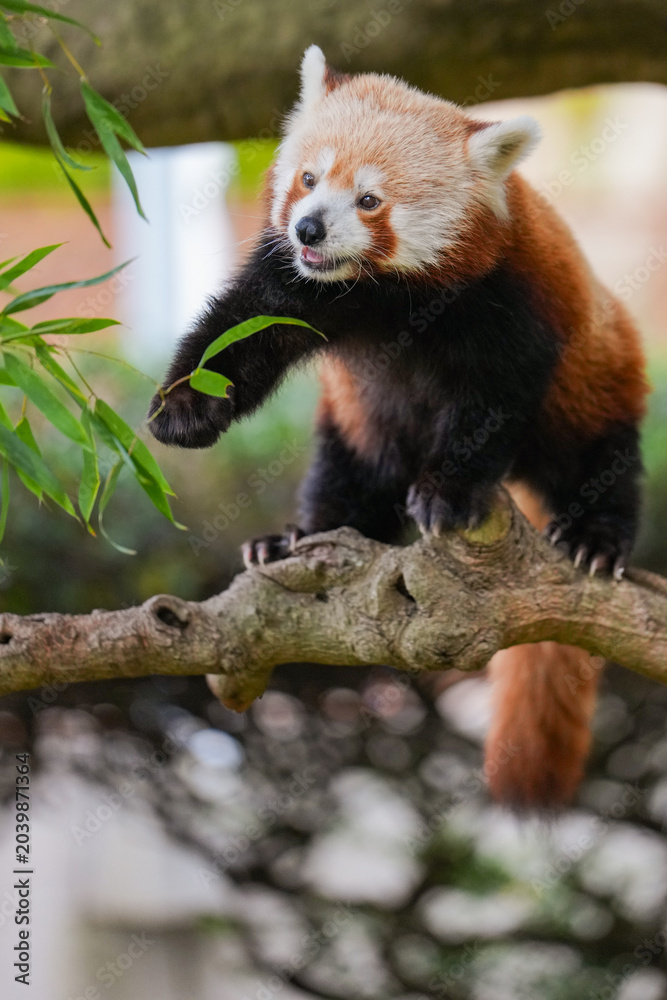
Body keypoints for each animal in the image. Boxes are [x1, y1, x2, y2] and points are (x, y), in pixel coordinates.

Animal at [149, 46, 648, 808]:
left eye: (369, 200)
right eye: (308, 178)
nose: (309, 228)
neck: (381, 293)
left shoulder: (506, 306)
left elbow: (487, 405)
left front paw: (446, 493)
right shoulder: (293, 282)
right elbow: (239, 333)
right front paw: (185, 407)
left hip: (596, 379)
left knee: (600, 456)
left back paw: (596, 538)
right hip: (354, 423)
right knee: (349, 469)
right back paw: (299, 538)